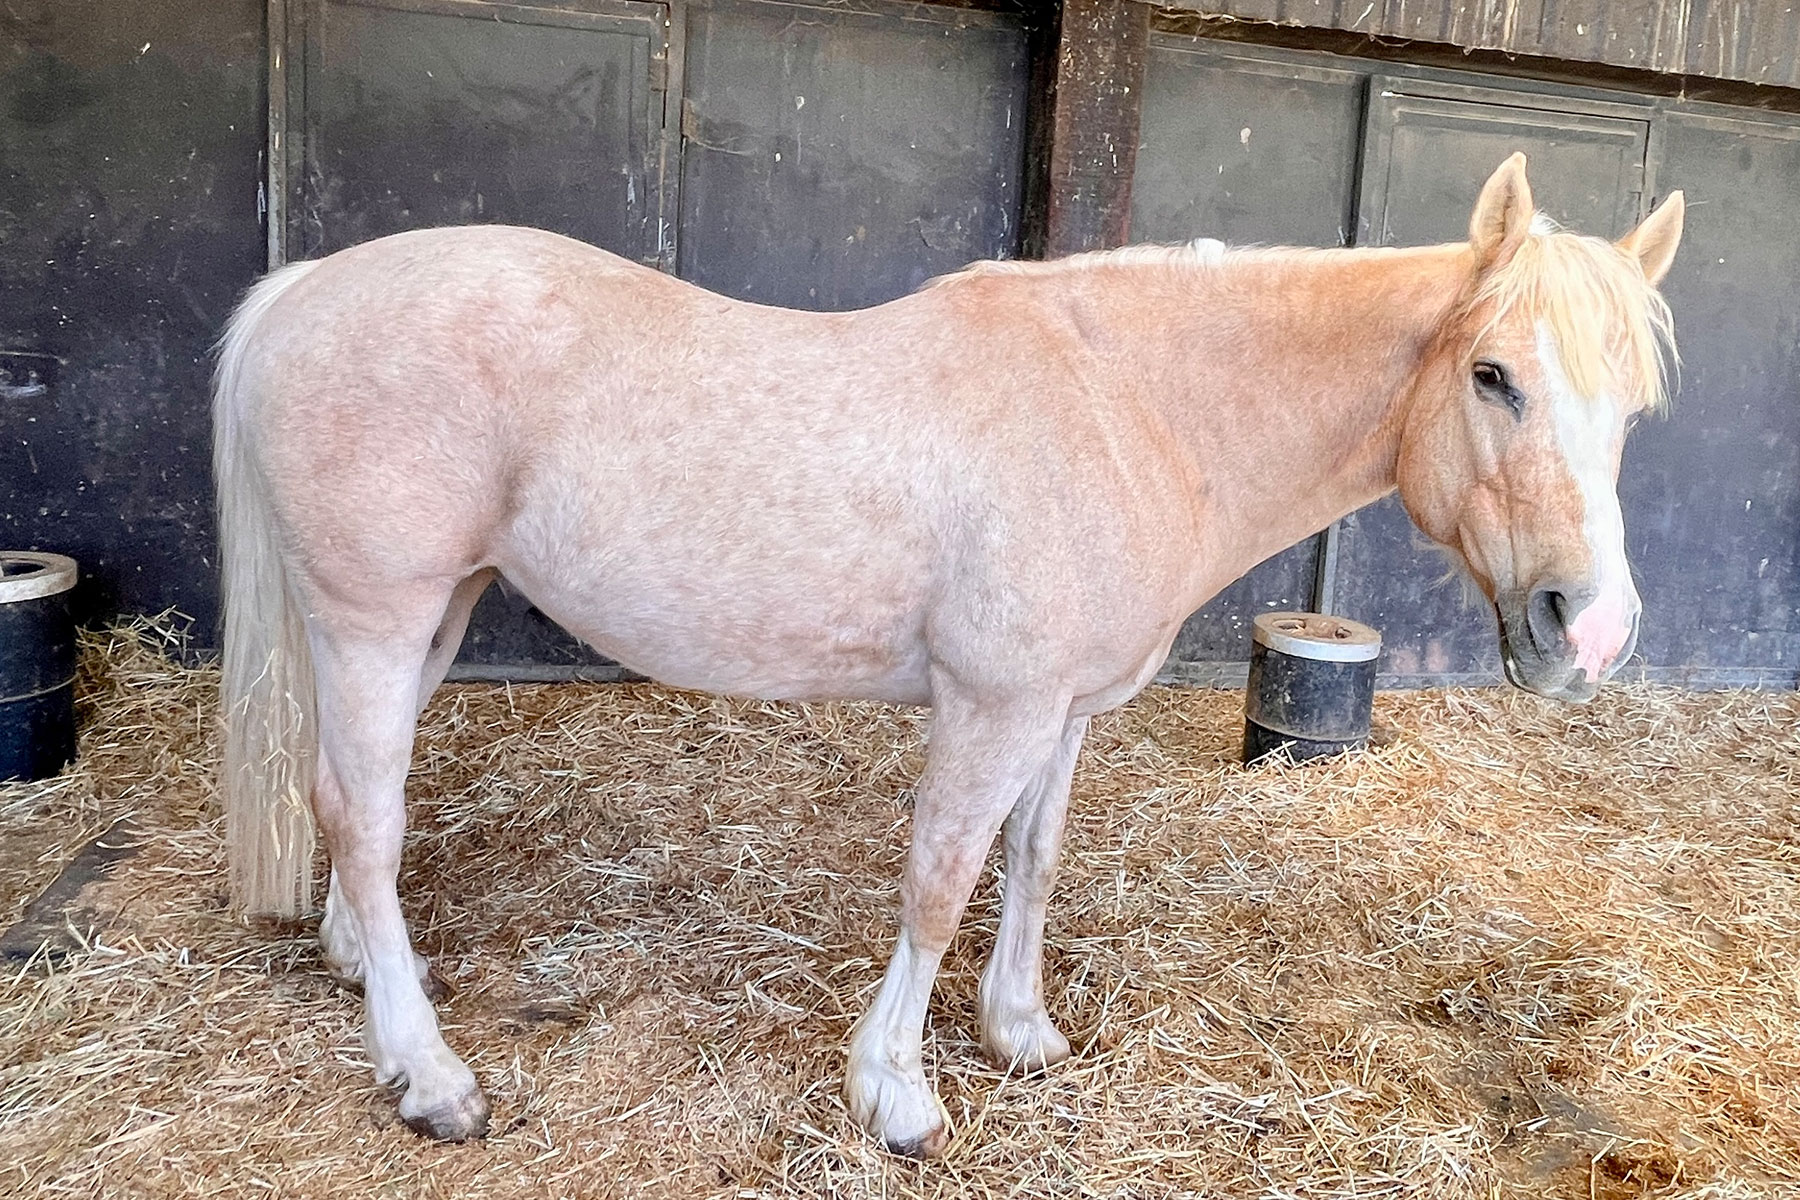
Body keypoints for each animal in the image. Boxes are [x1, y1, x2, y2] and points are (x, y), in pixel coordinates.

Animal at [212, 154, 1683, 1155]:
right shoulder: (992, 706)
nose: (1591, 629)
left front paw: (1018, 1031)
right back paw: (428, 1076)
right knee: (364, 812)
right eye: (1492, 375)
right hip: (375, 613)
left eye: (1633, 407)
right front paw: (898, 1093)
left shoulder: (1064, 711)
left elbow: (1031, 861)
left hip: (436, 610)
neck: (1129, 406)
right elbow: (939, 882)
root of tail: (305, 289)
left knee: (356, 804)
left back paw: (366, 971)